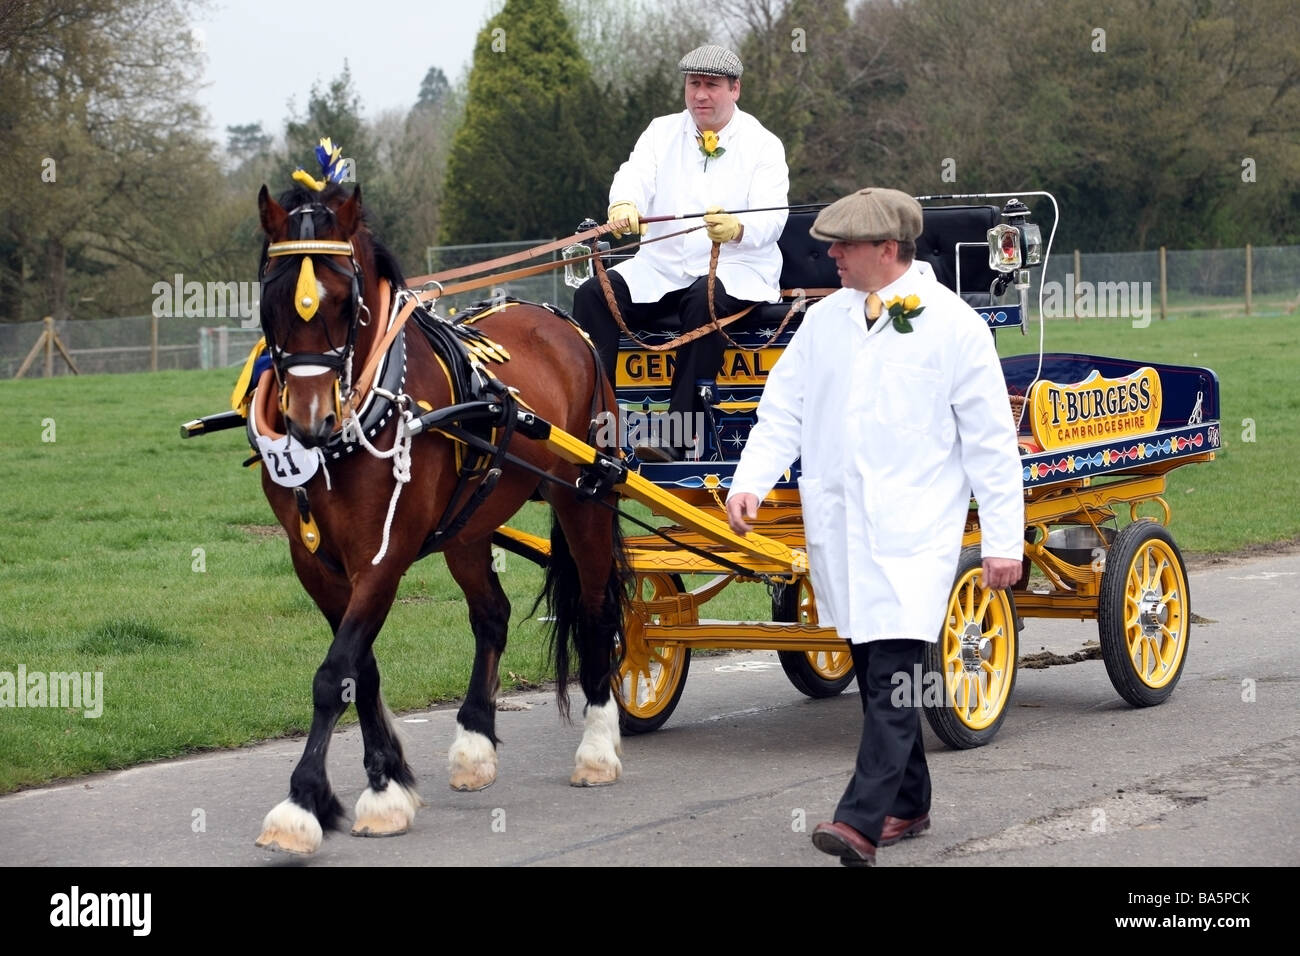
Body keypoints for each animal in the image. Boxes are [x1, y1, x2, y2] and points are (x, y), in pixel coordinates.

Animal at [252, 183, 629, 858]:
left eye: (344, 300)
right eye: (273, 295)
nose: (308, 422)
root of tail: (560, 320)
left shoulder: (384, 555)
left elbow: (333, 673)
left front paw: (301, 803)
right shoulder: (315, 563)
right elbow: (360, 672)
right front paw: (386, 784)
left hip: (584, 500)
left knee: (594, 611)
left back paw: (596, 746)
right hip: (471, 523)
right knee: (492, 614)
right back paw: (475, 744)